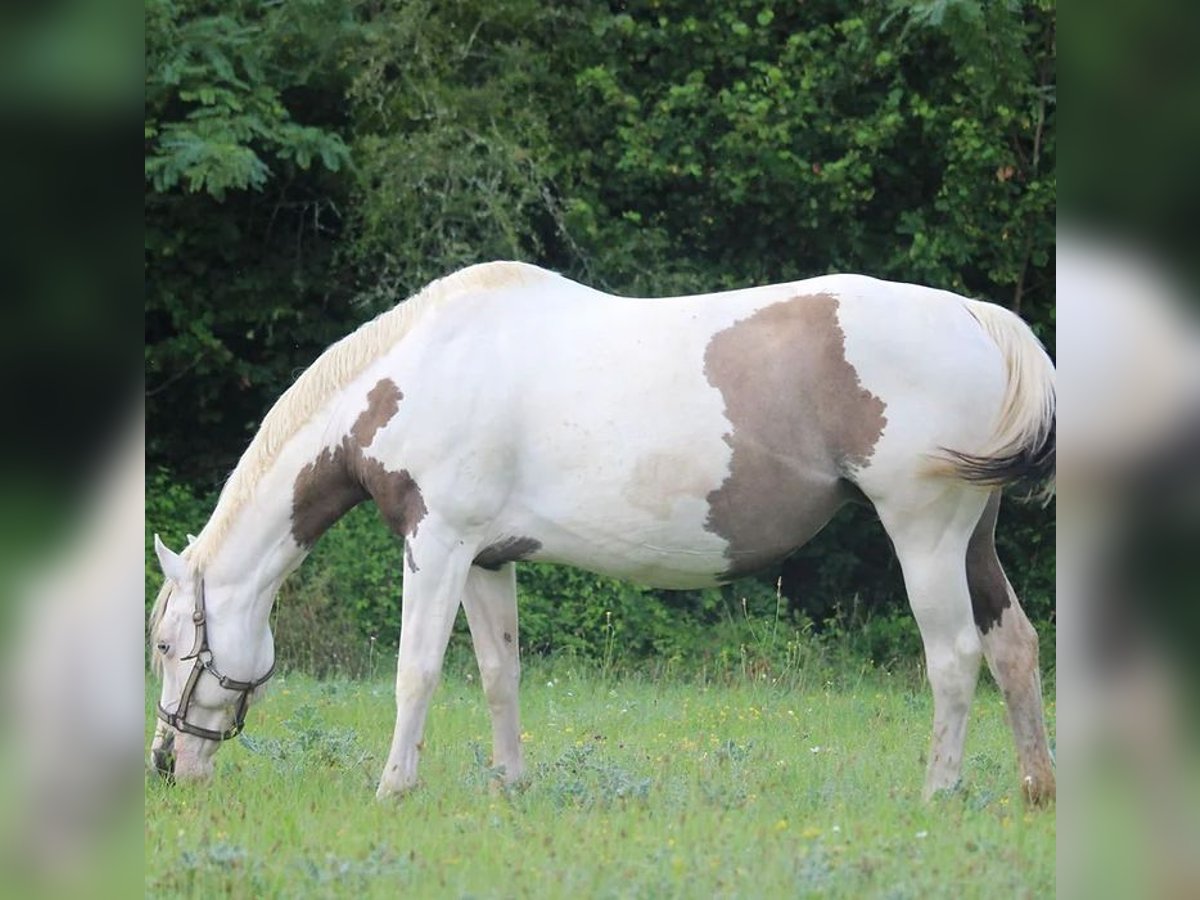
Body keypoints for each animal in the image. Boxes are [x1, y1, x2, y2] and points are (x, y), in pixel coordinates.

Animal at [145, 260, 1056, 801]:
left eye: (164, 644)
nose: (167, 765)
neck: (417, 373)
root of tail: (974, 316)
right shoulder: (485, 560)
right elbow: (497, 674)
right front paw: (510, 786)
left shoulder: (435, 546)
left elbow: (416, 672)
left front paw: (393, 788)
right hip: (974, 540)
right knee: (1013, 647)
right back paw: (1035, 787)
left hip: (924, 536)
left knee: (954, 660)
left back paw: (939, 792)